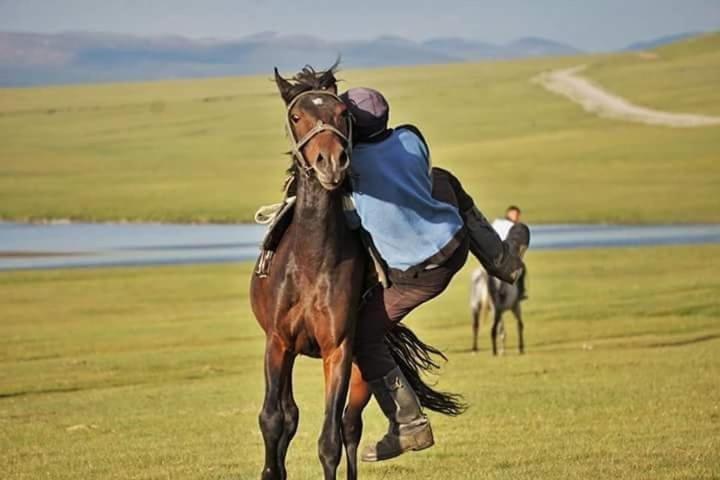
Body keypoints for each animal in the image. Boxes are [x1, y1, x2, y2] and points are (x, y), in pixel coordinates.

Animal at [253, 63, 464, 480]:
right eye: (297, 116)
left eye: (341, 114)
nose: (331, 163)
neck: (311, 260)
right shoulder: (278, 343)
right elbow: (272, 419)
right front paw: (272, 470)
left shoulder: (338, 351)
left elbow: (330, 440)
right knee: (289, 415)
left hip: (360, 364)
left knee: (350, 425)